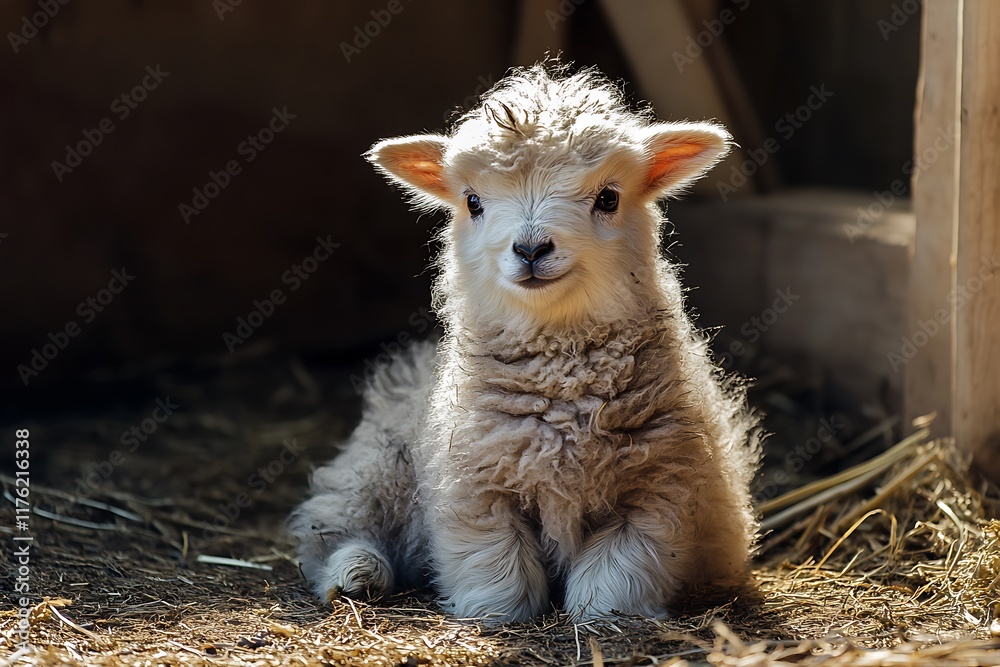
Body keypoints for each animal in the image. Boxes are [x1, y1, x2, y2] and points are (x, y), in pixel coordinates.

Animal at [289, 63, 761, 623]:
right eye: (473, 202)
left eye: (609, 198)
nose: (531, 249)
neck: (560, 385)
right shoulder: (474, 490)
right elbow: (499, 575)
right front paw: (497, 616)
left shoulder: (659, 493)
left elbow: (613, 583)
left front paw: (602, 621)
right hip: (376, 468)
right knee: (332, 524)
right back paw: (356, 573)